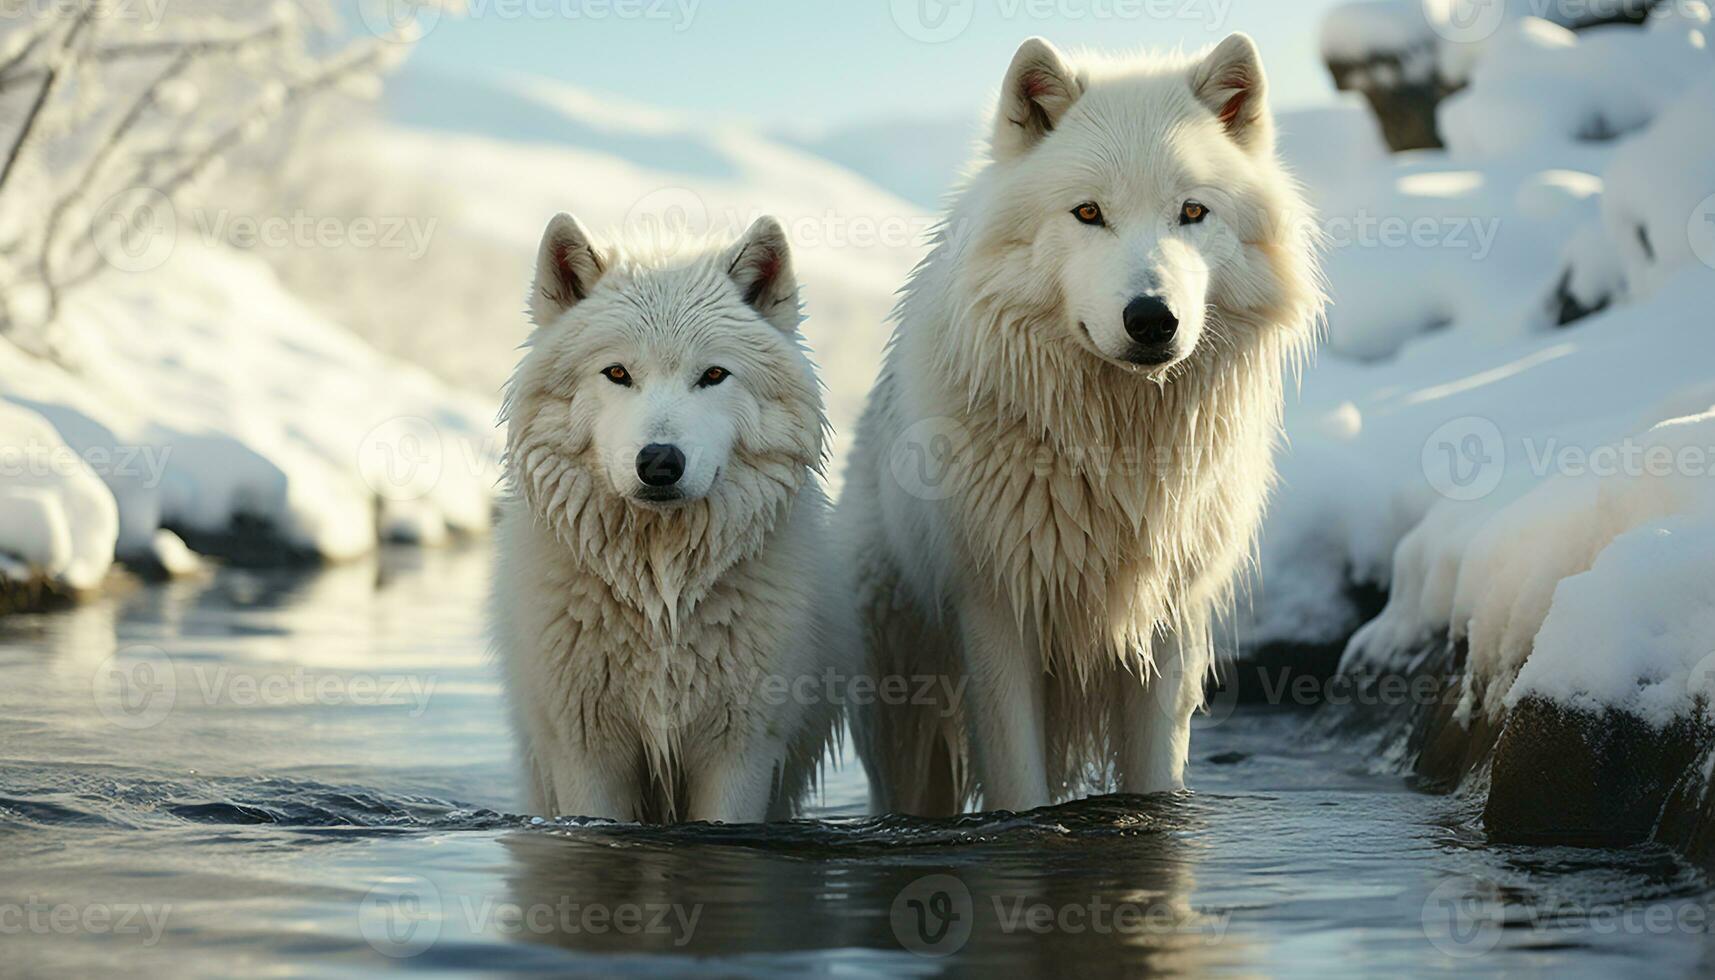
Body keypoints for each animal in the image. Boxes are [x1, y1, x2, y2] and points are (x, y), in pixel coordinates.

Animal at [493, 214, 847, 827]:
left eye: (713, 375)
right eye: (617, 372)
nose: (659, 462)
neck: (660, 596)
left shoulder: (740, 753)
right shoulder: (585, 754)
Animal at [843, 34, 1323, 816]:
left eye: (1192, 211)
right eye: (1089, 213)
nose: (1152, 319)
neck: (1112, 449)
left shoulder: (1168, 623)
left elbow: (1156, 777)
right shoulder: (995, 613)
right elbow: (1019, 785)